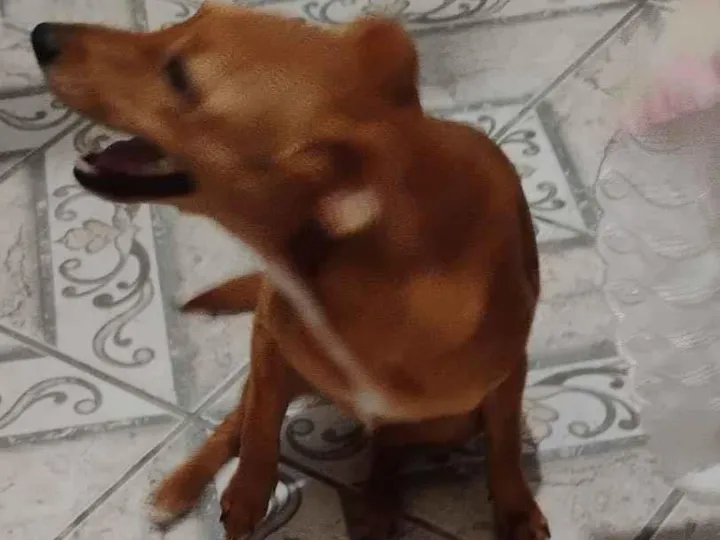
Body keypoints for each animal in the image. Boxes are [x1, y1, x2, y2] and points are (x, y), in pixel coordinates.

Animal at [31, 4, 548, 539]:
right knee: (235, 422)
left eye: (179, 75)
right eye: (187, 16)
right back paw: (180, 486)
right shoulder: (269, 343)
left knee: (390, 445)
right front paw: (246, 493)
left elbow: (505, 448)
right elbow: (259, 426)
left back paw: (379, 503)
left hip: (451, 421)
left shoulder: (506, 381)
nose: (40, 34)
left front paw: (516, 509)